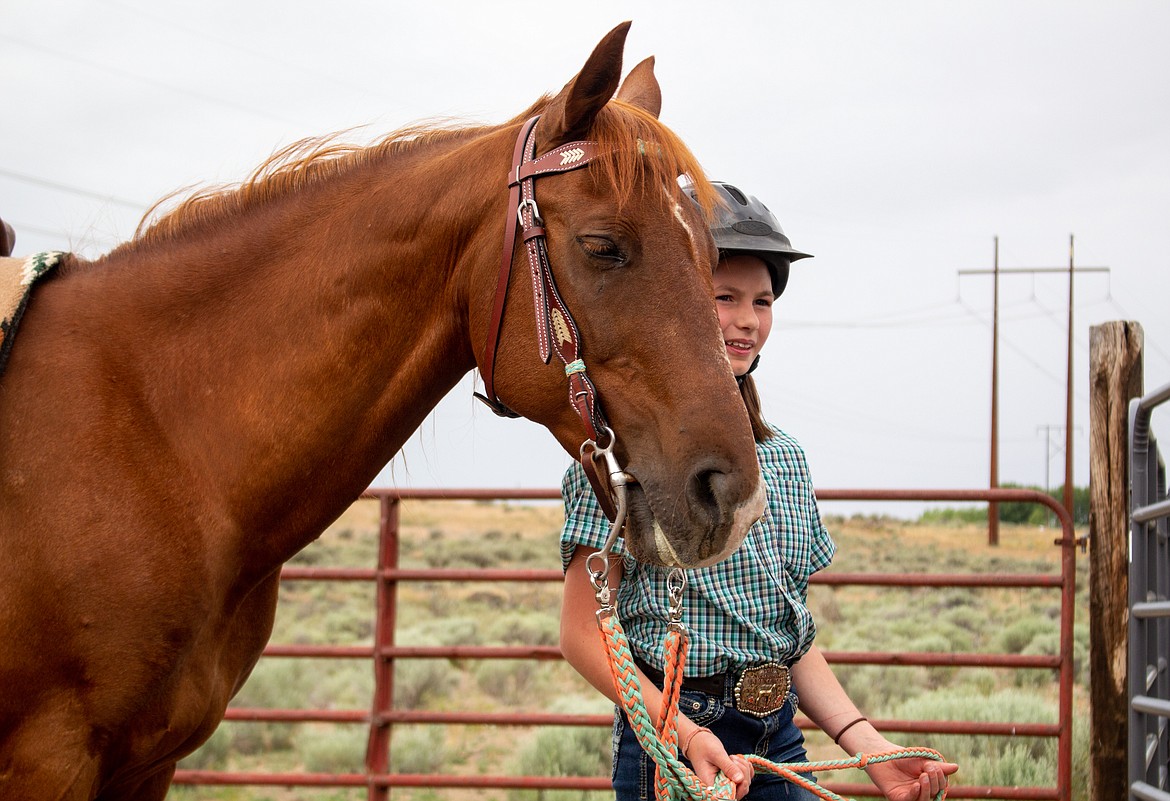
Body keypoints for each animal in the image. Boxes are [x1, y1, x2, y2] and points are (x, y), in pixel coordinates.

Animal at [0, 22, 765, 800]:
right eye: (603, 246)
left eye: (710, 257)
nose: (734, 496)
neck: (156, 434)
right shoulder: (50, 760)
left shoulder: (148, 765)